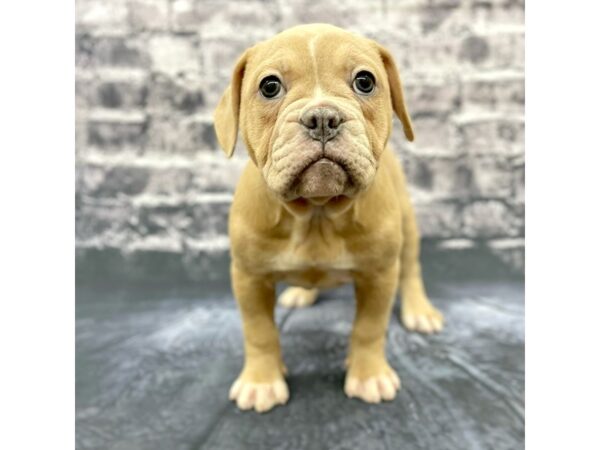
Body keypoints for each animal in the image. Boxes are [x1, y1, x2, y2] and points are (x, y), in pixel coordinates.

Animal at [213, 23, 442, 412]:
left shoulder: (380, 274)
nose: (322, 117)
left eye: (365, 81)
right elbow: (259, 331)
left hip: (408, 227)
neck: (316, 212)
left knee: (411, 267)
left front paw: (368, 376)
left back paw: (419, 310)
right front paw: (262, 381)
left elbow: (369, 328)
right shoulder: (249, 276)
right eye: (269, 86)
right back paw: (300, 294)